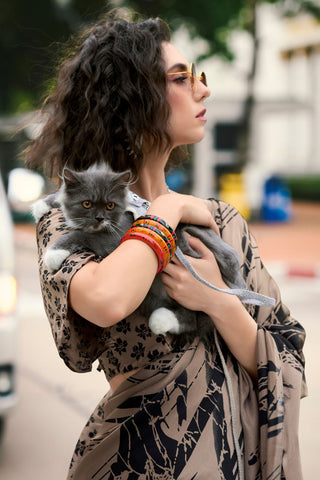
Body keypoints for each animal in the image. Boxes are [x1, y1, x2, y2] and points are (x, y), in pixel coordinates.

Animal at [32, 163, 272, 340]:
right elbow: (62, 198)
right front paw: (43, 204)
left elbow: (83, 235)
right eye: (87, 203)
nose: (99, 218)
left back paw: (162, 320)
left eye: (110, 206)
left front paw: (54, 253)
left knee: (195, 318)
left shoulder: (115, 238)